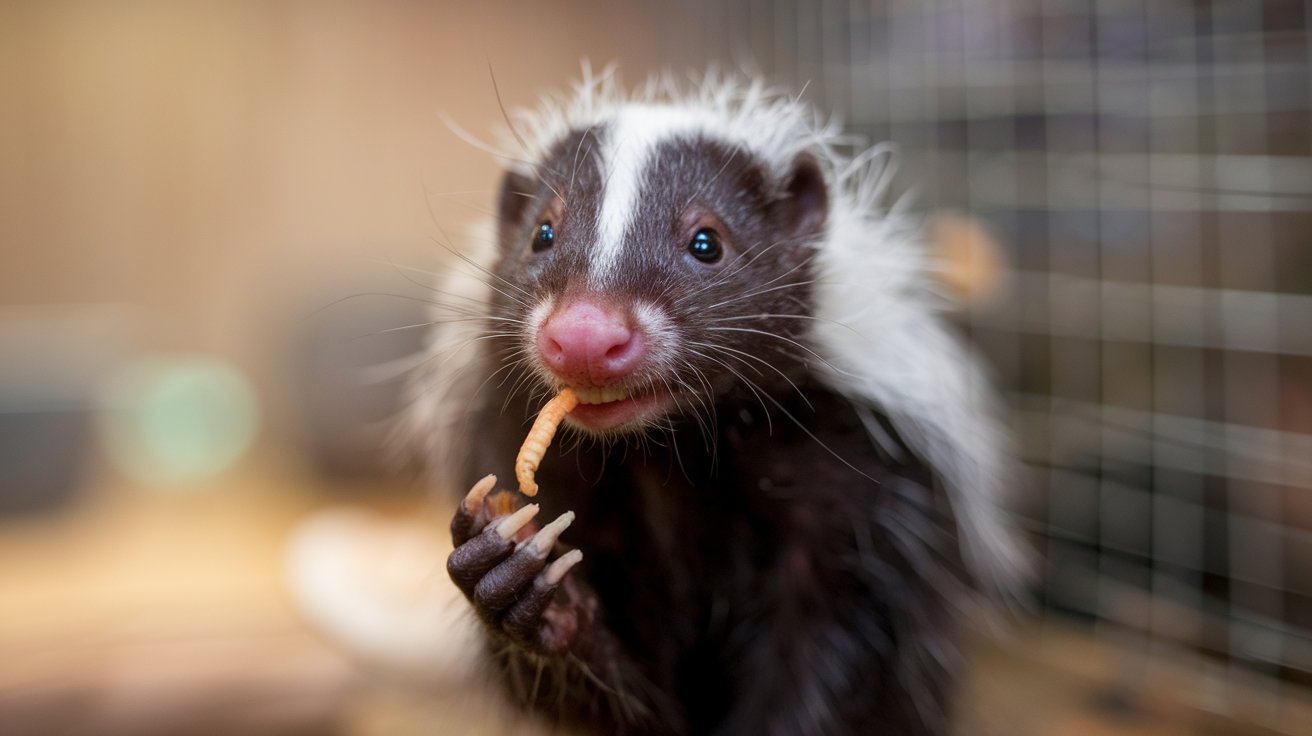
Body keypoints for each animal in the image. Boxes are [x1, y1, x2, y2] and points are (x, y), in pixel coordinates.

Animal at [404, 70, 1018, 734]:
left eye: (706, 243)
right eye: (542, 234)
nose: (584, 335)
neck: (675, 451)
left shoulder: (862, 474)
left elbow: (840, 651)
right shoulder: (521, 440)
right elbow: (611, 707)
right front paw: (519, 577)